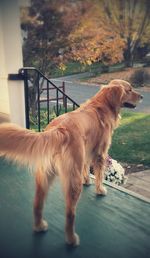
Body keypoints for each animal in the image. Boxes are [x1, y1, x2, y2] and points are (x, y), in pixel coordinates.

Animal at [0, 78, 143, 246]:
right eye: (129, 90)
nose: (142, 96)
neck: (102, 105)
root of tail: (58, 130)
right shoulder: (100, 154)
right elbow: (99, 175)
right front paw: (100, 190)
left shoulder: (87, 152)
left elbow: (86, 168)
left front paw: (87, 180)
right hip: (72, 180)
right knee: (70, 213)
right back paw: (71, 239)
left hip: (44, 177)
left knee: (37, 203)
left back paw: (39, 226)